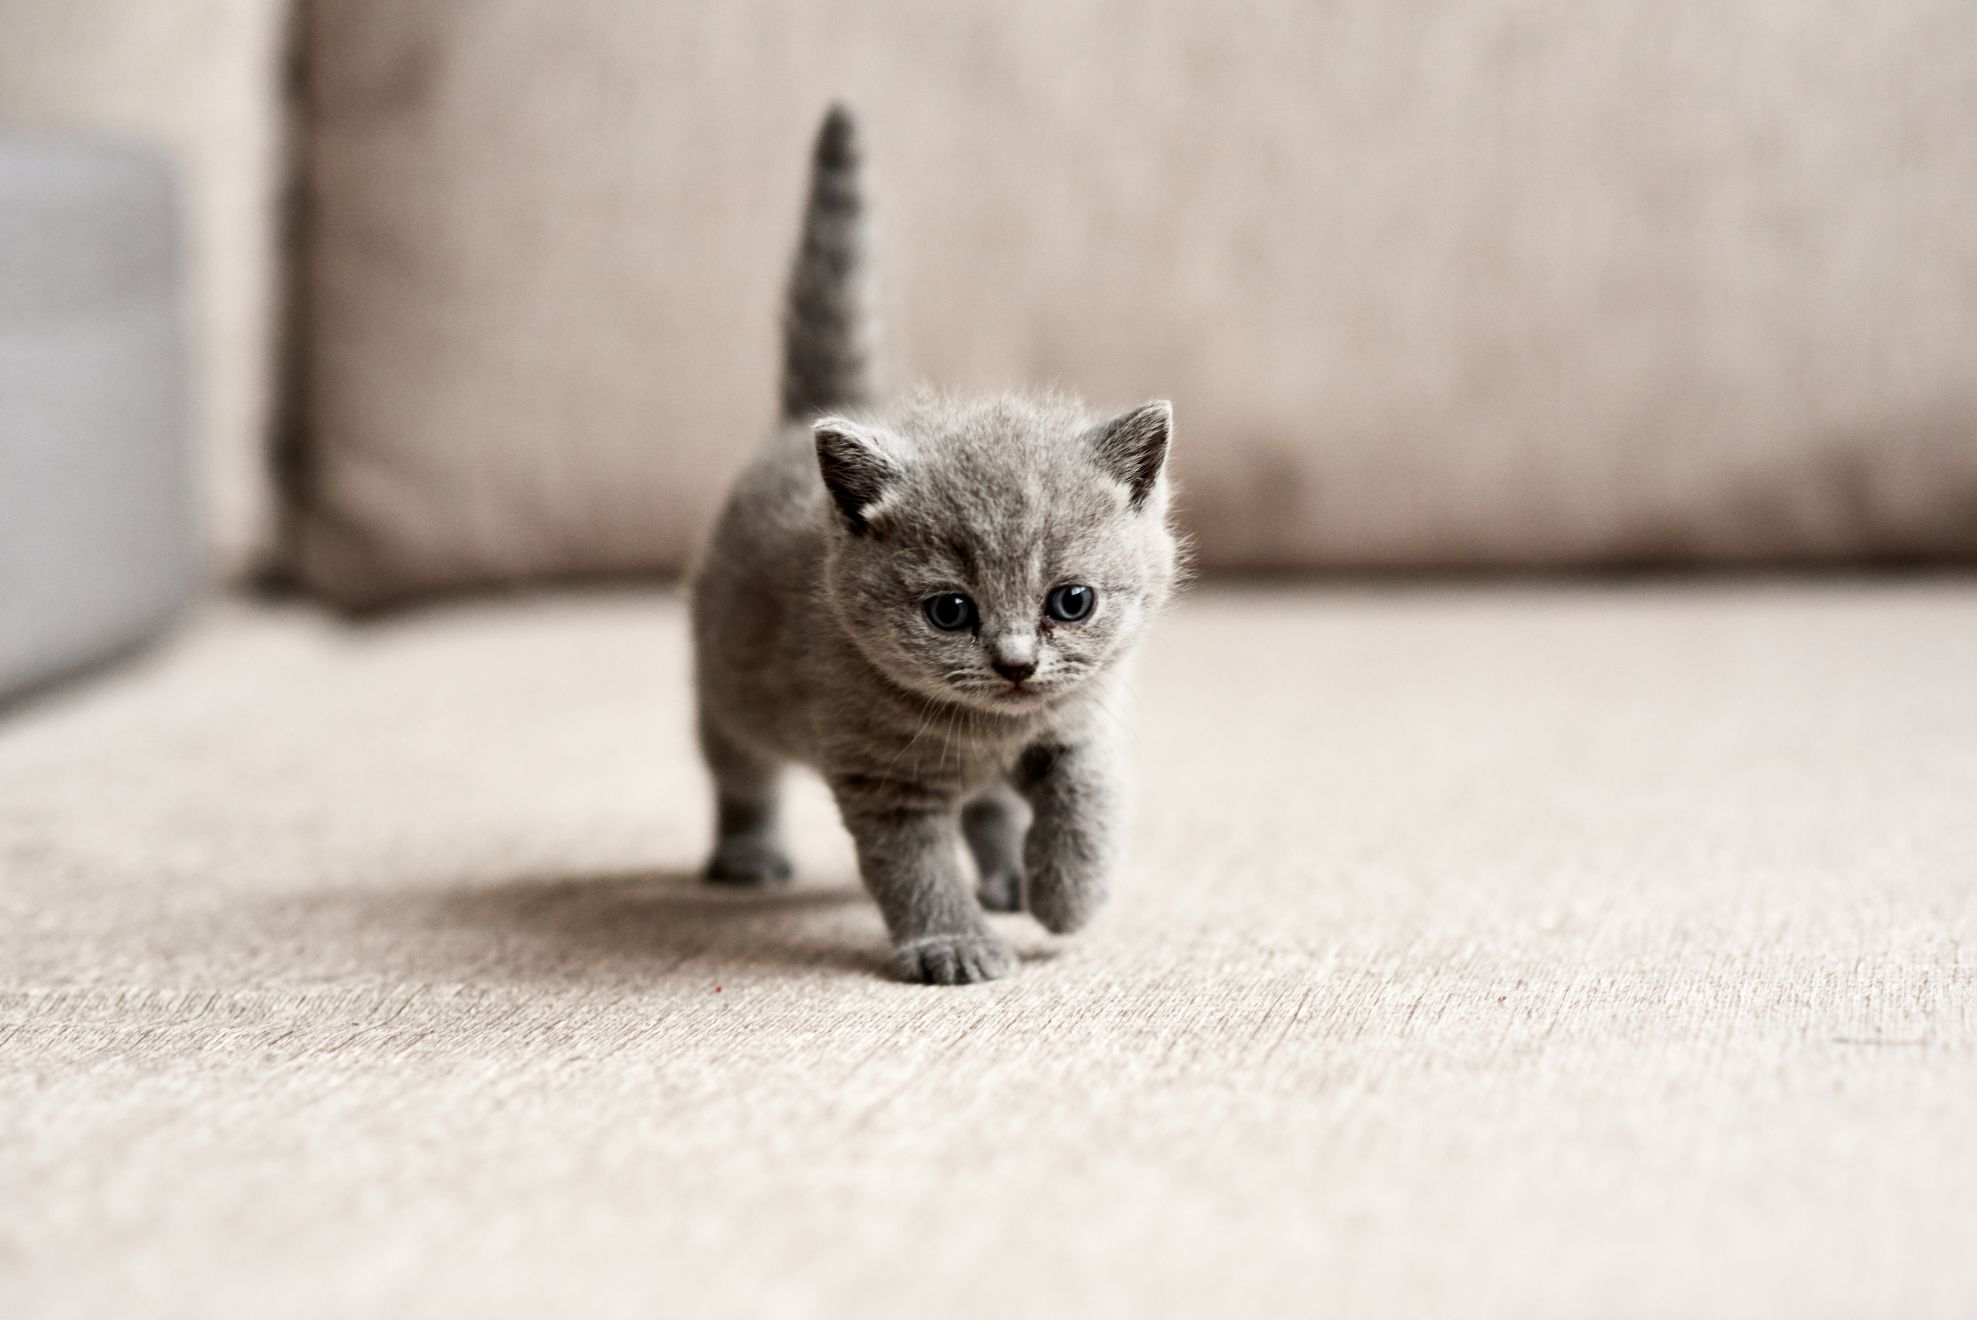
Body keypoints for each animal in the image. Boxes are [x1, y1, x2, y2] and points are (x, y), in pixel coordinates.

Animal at [687, 108, 1178, 984]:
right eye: (949, 611)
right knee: (739, 772)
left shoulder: (1077, 721)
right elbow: (913, 868)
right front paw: (952, 946)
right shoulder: (882, 777)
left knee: (988, 806)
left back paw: (1010, 878)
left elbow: (1087, 797)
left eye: (1072, 601)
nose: (1016, 663)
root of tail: (810, 415)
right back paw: (746, 855)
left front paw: (1064, 897)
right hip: (727, 685)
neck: (988, 732)